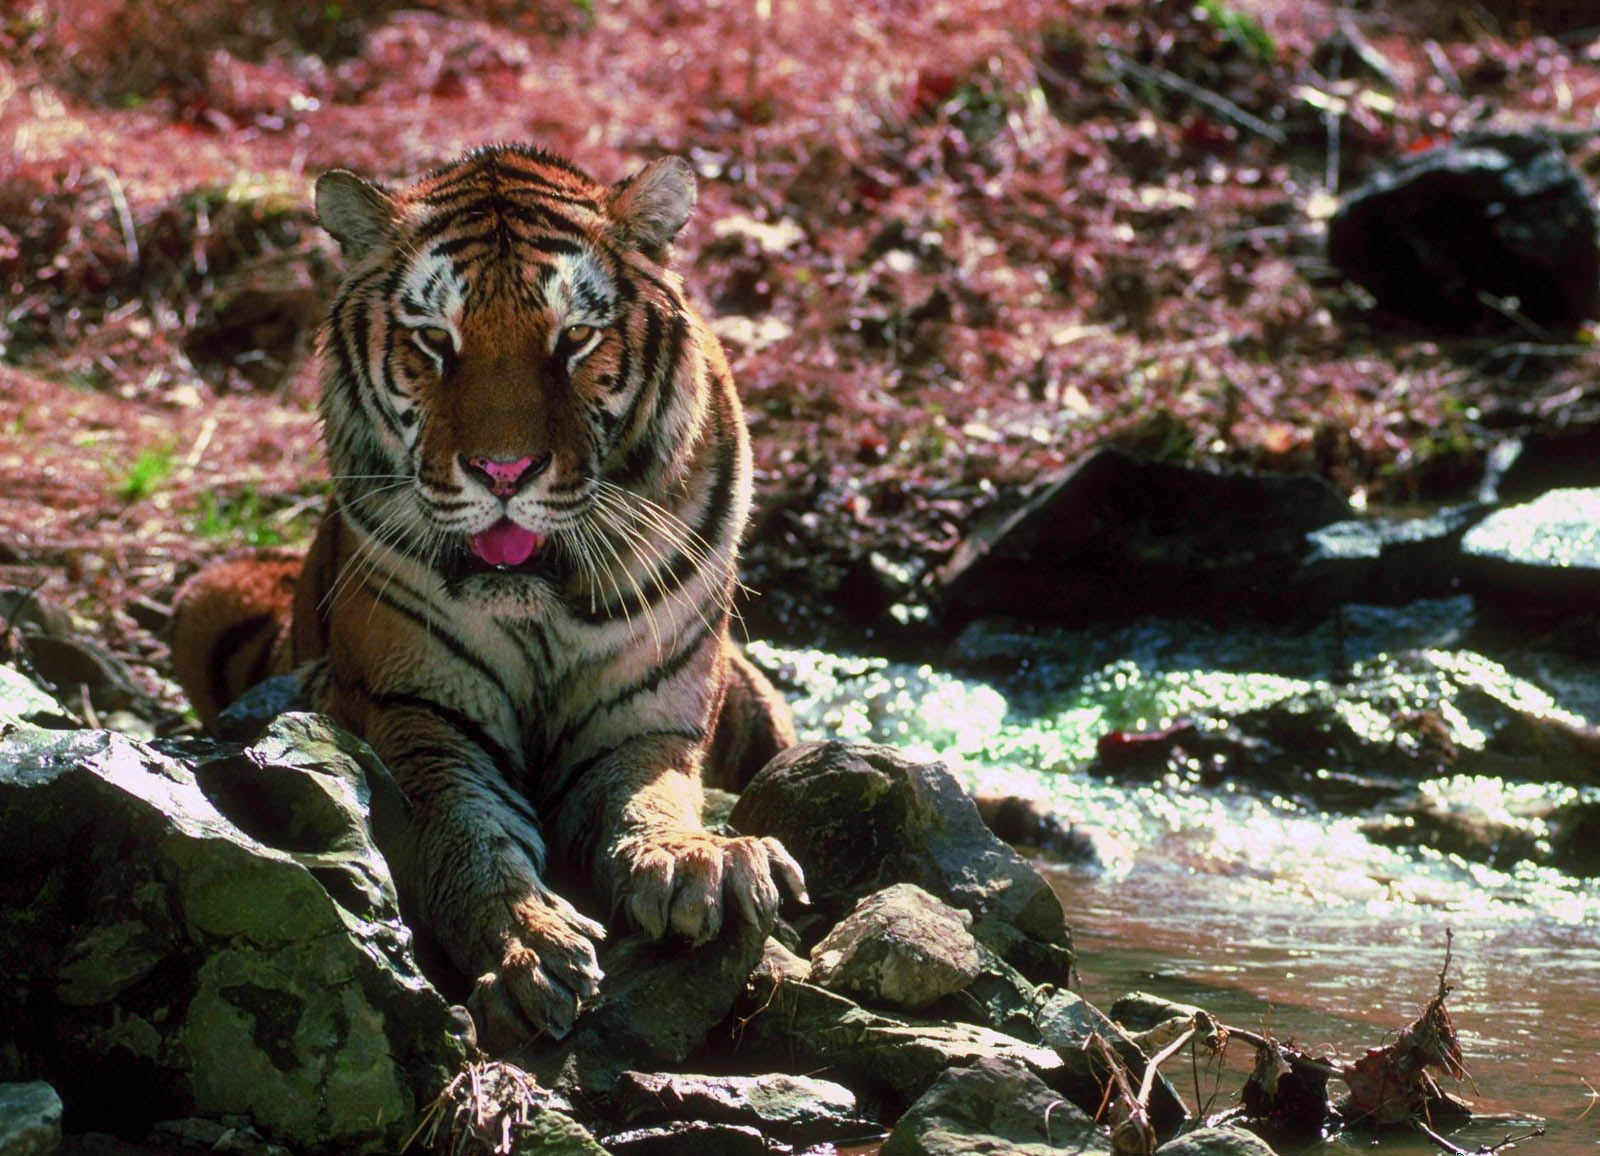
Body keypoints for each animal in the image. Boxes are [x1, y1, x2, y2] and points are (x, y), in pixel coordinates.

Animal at [169, 144, 804, 1049]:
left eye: (574, 338)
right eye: (437, 341)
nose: (504, 473)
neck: (541, 603)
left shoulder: (643, 718)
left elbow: (652, 791)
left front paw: (694, 862)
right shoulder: (421, 713)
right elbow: (467, 831)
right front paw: (529, 946)